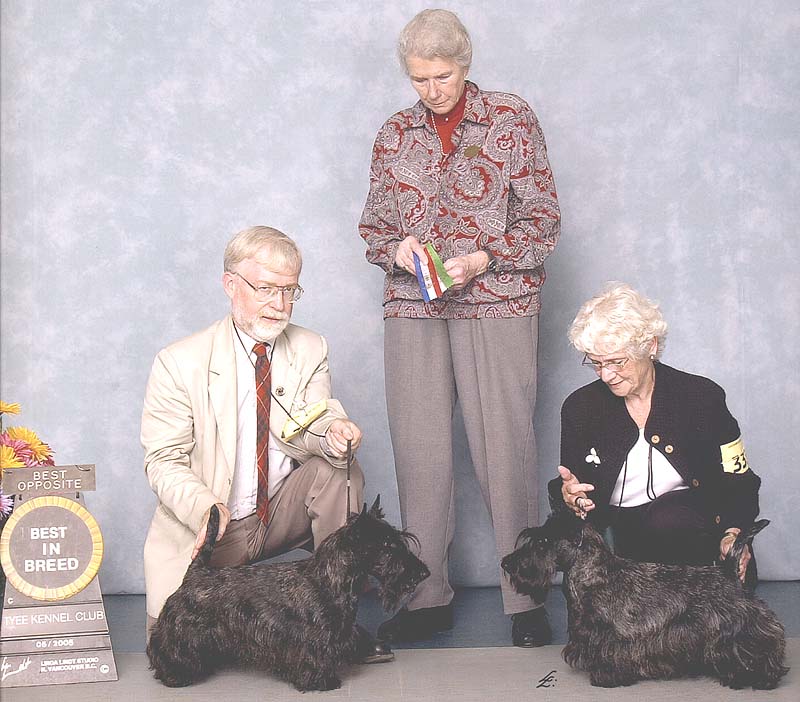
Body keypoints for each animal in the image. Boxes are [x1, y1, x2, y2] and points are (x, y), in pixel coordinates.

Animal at [147, 497, 429, 691]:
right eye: (388, 545)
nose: (423, 572)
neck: (328, 579)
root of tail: (195, 572)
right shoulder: (312, 640)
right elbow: (315, 658)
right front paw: (321, 681)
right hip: (184, 630)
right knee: (167, 649)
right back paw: (175, 674)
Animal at [501, 511, 788, 689]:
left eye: (543, 540)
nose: (506, 563)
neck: (593, 573)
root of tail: (728, 571)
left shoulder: (610, 636)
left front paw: (606, 677)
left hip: (738, 630)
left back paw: (758, 678)